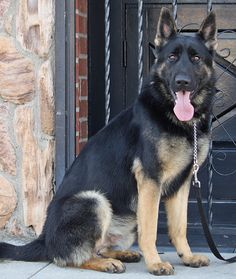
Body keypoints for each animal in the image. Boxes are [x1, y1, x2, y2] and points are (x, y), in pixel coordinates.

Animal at [0, 7, 218, 276]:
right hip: (94, 200)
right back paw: (106, 263)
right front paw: (155, 263)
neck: (176, 118)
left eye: (196, 58)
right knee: (72, 257)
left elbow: (180, 227)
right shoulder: (150, 180)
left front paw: (187, 256)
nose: (182, 82)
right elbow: (150, 229)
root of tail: (44, 239)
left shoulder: (182, 185)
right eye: (172, 58)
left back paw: (121, 254)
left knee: (99, 246)